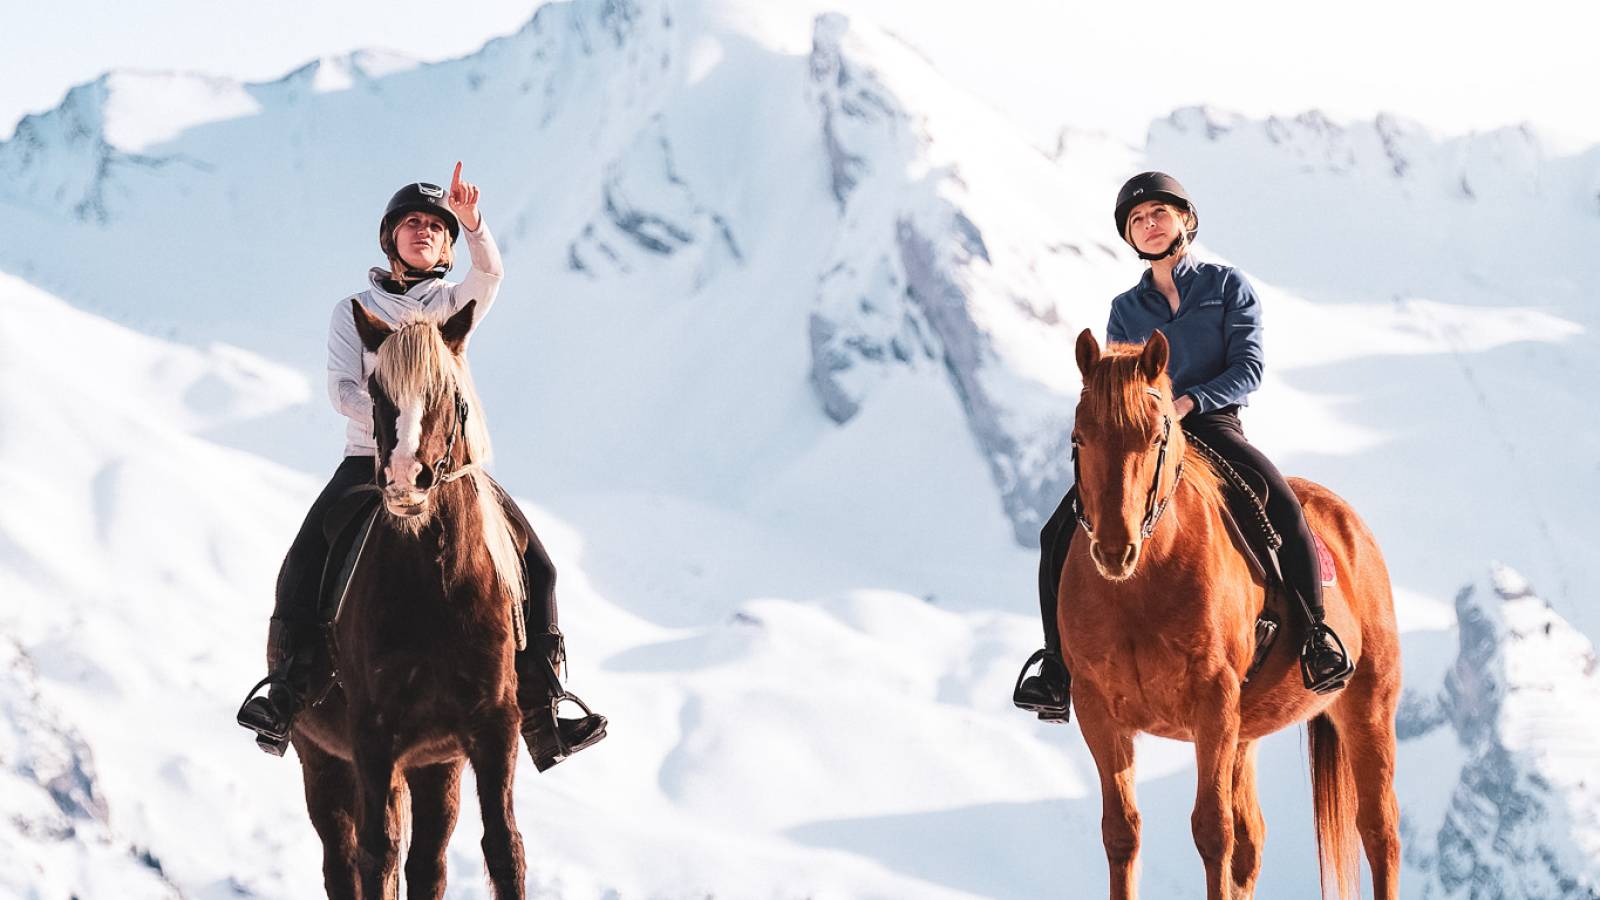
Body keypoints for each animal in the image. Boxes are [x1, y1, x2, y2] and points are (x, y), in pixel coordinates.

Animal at [289, 299, 531, 896]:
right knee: (345, 862)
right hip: (323, 762)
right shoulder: (373, 736)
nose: (404, 480)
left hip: (435, 765)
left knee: (428, 862)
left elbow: (504, 847)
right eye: (376, 392)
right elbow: (377, 854)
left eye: (449, 393)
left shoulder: (495, 726)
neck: (436, 592)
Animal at [1062, 329, 1401, 896]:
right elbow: (1122, 832)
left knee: (1380, 833)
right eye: (1079, 439)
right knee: (1252, 844)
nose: (1114, 549)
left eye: (1156, 438)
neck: (1138, 592)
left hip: (1369, 708)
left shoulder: (1214, 703)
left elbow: (1211, 831)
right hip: (1247, 733)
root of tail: (1350, 522)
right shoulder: (1097, 709)